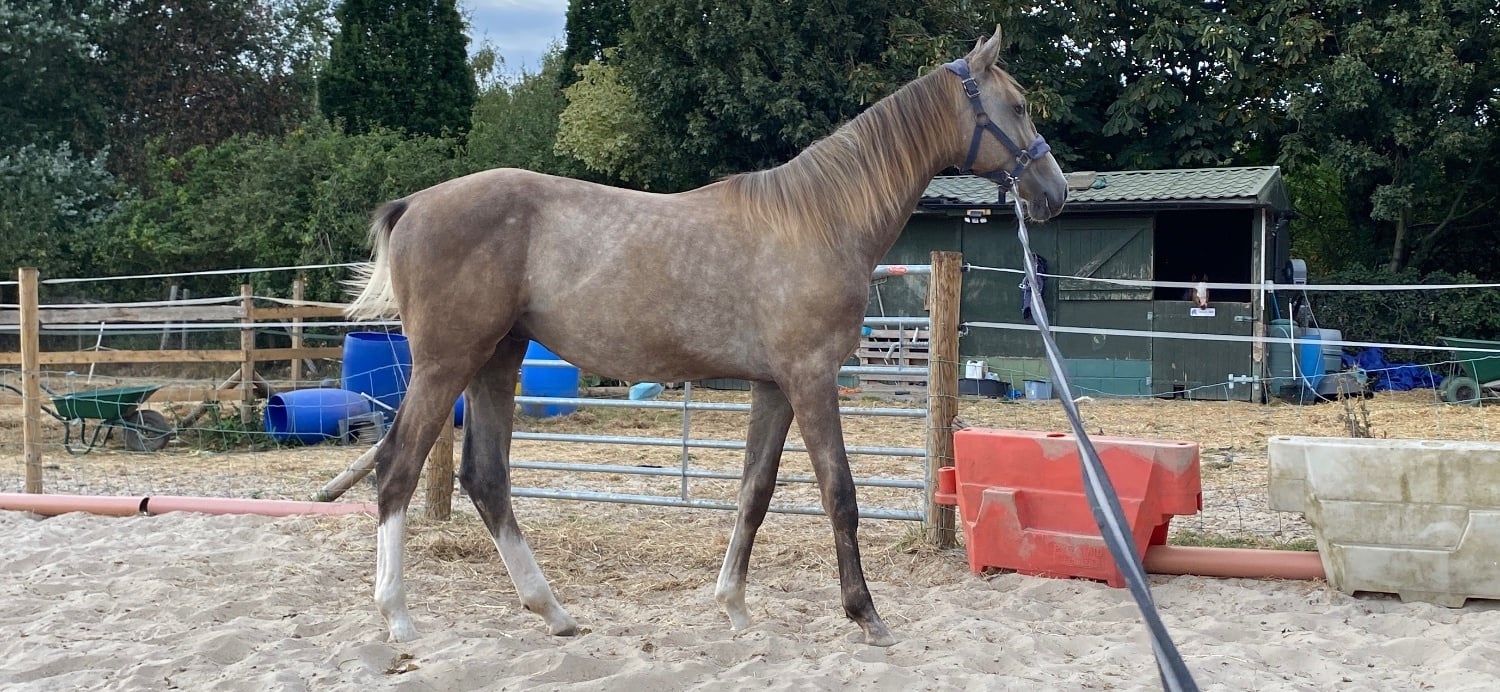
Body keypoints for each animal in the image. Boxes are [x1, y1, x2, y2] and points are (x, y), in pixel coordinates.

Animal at [343, 25, 1068, 647]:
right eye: (1018, 106)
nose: (1054, 192)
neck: (820, 218)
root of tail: (413, 206)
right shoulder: (812, 378)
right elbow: (838, 493)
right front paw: (866, 614)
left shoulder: (775, 386)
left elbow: (755, 490)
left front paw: (734, 606)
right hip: (447, 364)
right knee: (397, 469)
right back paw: (397, 617)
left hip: (498, 358)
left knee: (486, 478)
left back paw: (553, 611)